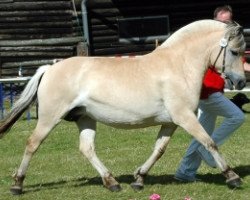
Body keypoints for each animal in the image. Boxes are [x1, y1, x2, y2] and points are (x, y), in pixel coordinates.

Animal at [0, 19, 246, 195]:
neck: (178, 65)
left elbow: (159, 150)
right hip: (50, 118)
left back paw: (112, 182)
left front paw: (139, 179)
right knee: (33, 144)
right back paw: (17, 185)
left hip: (86, 118)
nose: (241, 81)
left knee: (87, 148)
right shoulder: (185, 118)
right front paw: (232, 177)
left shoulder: (170, 122)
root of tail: (49, 69)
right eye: (234, 51)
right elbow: (210, 142)